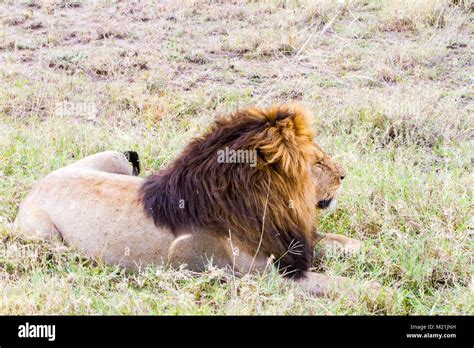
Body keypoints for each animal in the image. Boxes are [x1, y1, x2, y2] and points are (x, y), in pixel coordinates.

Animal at [12, 103, 366, 296]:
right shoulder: (264, 277)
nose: (345, 175)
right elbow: (337, 283)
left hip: (116, 158)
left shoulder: (290, 241)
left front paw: (356, 248)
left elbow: (338, 243)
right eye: (318, 163)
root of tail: (37, 186)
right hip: (44, 237)